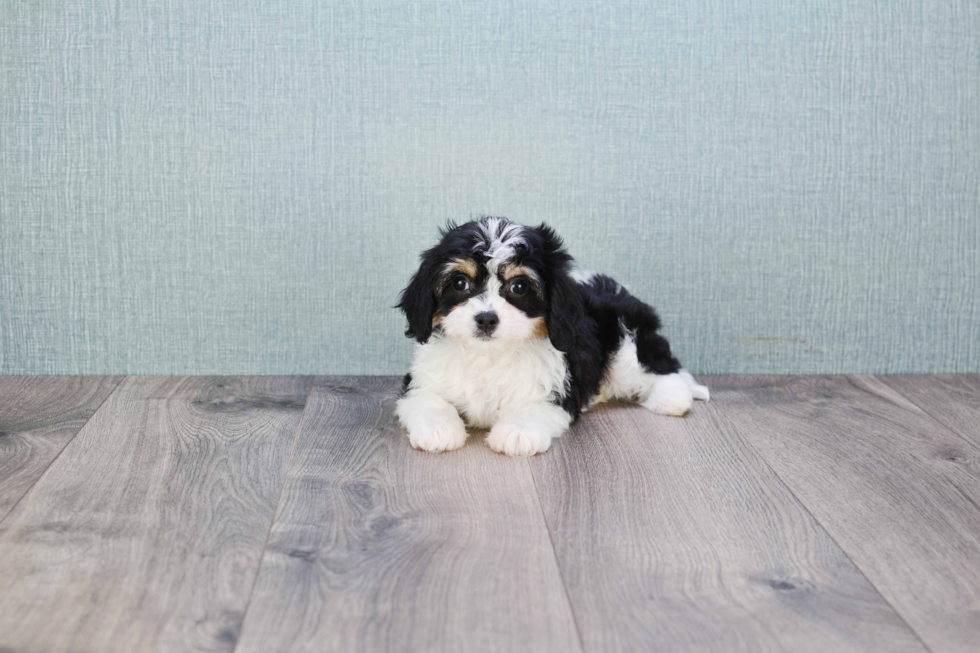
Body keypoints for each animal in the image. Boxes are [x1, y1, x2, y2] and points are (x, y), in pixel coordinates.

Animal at [394, 216, 708, 456]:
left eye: (519, 287)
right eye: (460, 283)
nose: (486, 318)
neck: (490, 355)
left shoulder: (555, 388)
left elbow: (533, 406)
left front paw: (517, 432)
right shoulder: (423, 380)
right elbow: (428, 399)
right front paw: (438, 429)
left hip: (626, 343)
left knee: (660, 367)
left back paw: (672, 399)